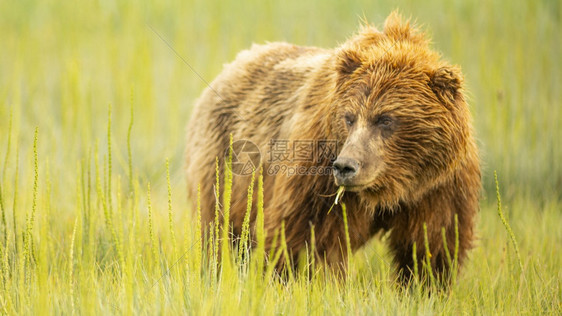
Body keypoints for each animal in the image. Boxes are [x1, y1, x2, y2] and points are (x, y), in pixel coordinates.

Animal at [184, 12, 476, 284]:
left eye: (385, 119)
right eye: (349, 117)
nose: (346, 166)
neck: (389, 188)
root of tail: (233, 64)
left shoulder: (438, 187)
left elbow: (431, 245)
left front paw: (423, 285)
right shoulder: (316, 173)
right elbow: (306, 239)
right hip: (224, 165)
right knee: (221, 232)